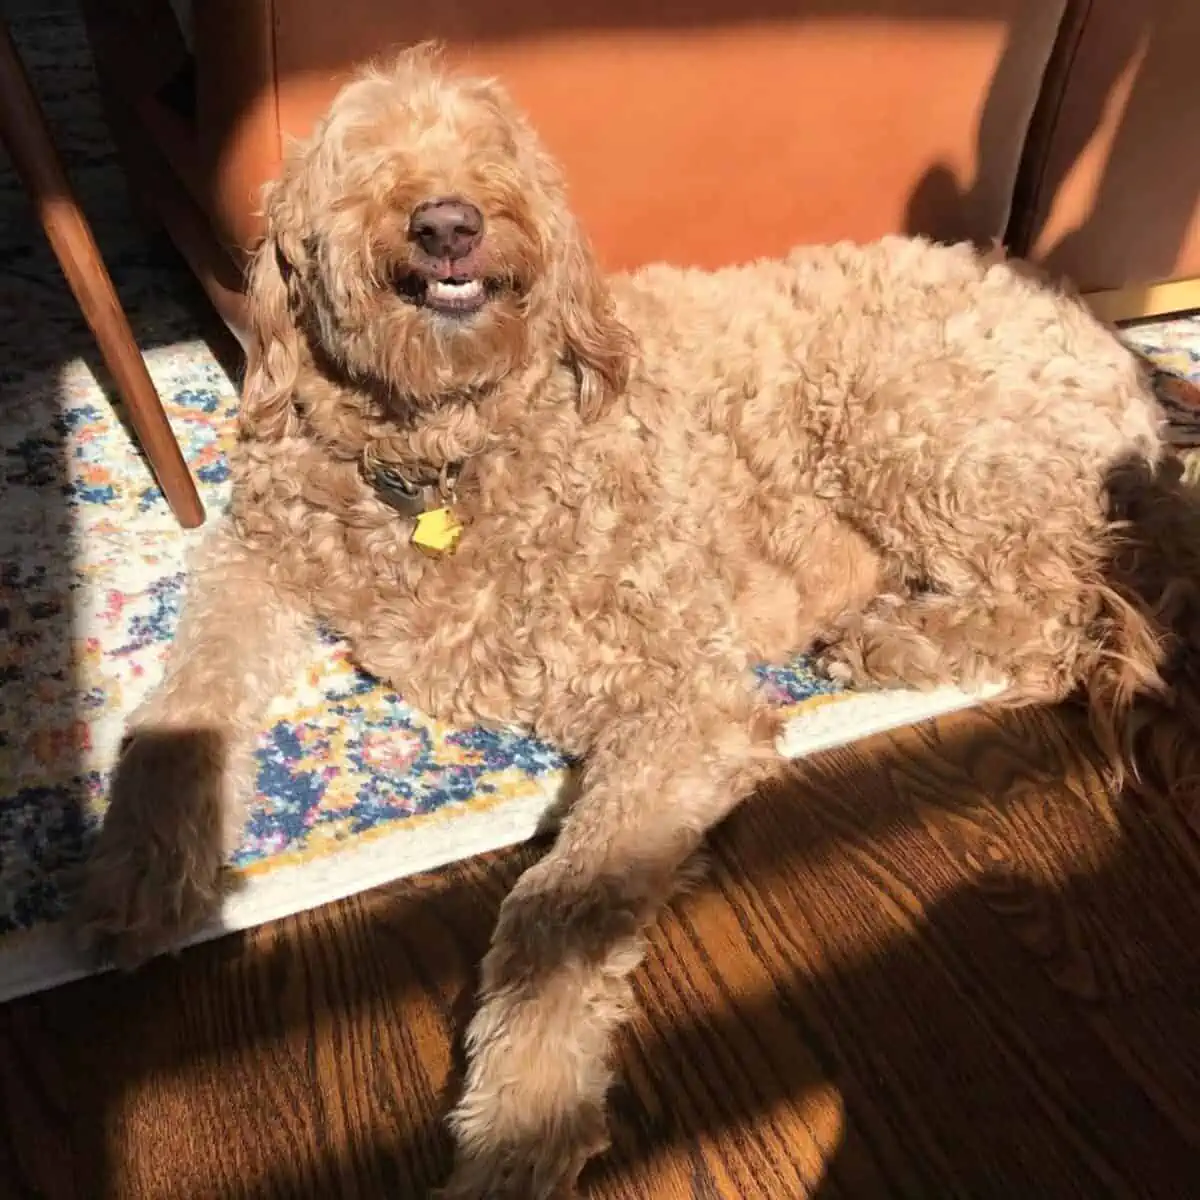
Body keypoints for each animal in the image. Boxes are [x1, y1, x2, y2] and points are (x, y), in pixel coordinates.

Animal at [79, 46, 1200, 1200]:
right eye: (362, 156)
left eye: (494, 148)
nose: (449, 223)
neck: (442, 452)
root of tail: (1111, 347)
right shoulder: (255, 558)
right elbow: (189, 700)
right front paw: (144, 862)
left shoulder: (686, 702)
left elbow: (556, 908)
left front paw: (521, 1117)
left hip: (917, 425)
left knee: (1060, 613)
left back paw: (890, 637)